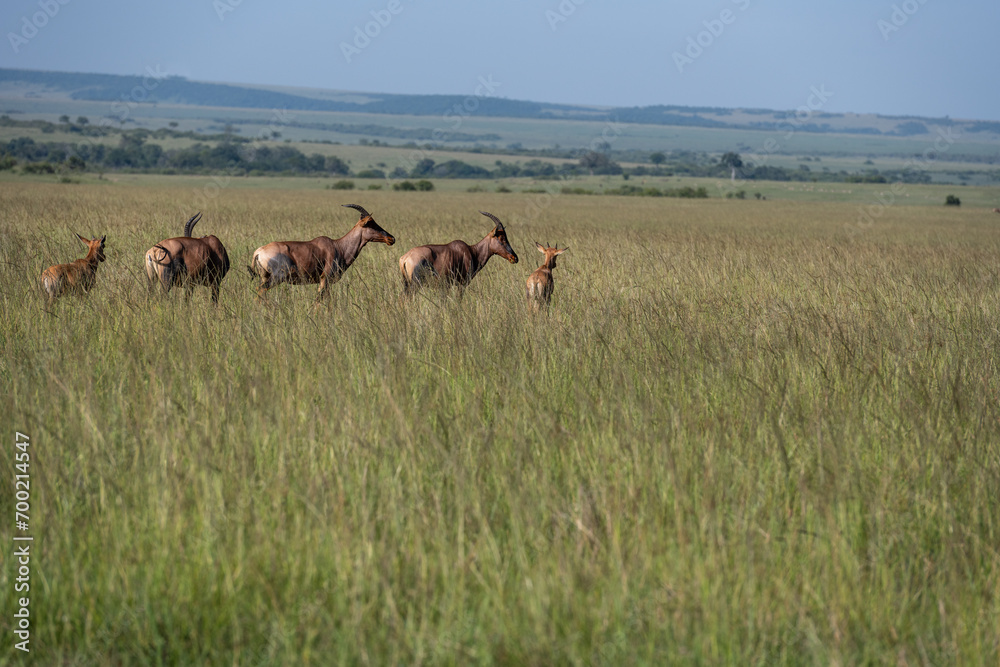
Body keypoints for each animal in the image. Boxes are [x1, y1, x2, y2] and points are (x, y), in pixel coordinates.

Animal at [249, 204, 395, 302]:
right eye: (371, 223)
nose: (391, 238)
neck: (338, 246)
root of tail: (258, 251)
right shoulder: (325, 279)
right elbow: (319, 299)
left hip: (265, 277)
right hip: (276, 277)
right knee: (261, 290)